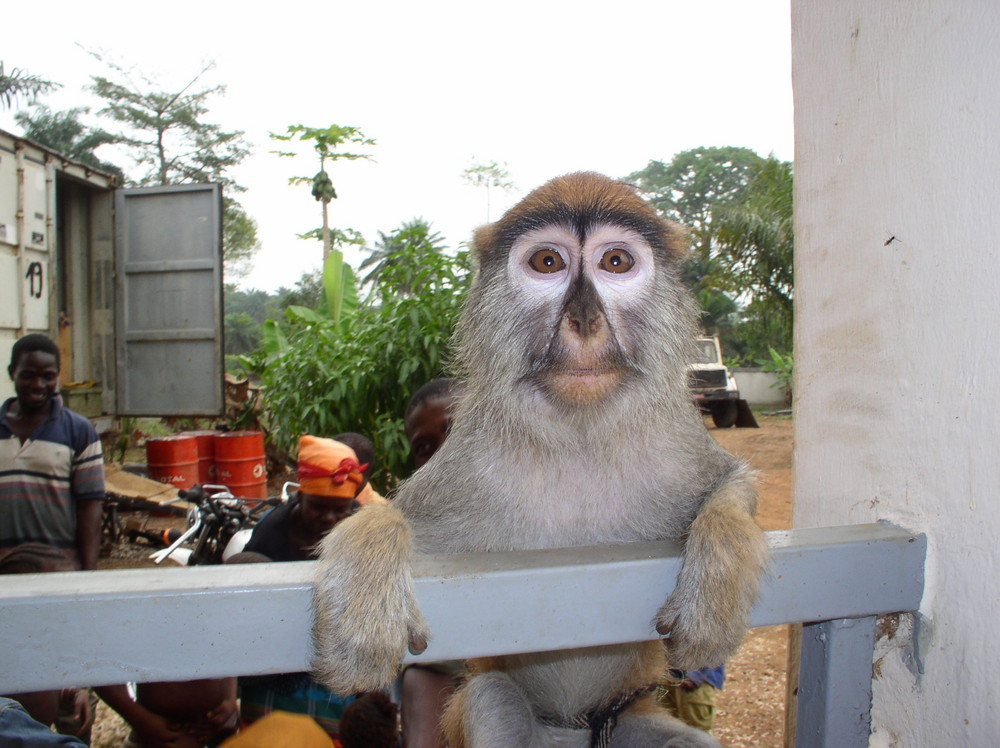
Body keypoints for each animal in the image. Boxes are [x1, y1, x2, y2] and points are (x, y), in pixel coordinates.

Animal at [312, 171, 764, 748]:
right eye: (548, 262)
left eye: (616, 261)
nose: (585, 321)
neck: (578, 437)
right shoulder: (473, 464)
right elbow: (394, 519)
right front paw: (366, 592)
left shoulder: (675, 441)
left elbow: (730, 484)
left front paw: (717, 584)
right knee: (493, 699)